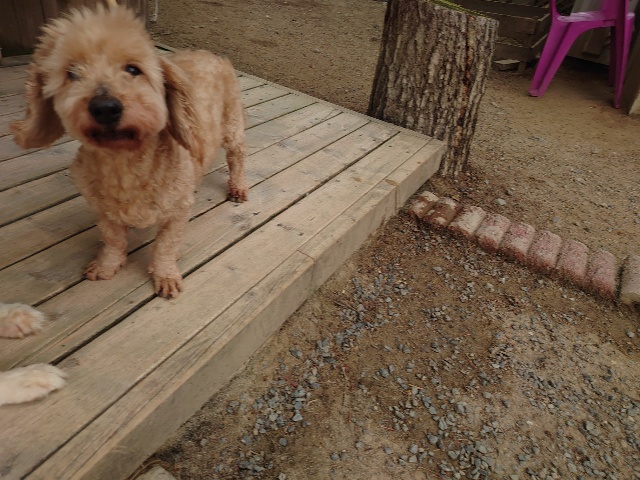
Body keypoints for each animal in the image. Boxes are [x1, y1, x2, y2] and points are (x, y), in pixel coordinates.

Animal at [11, 2, 248, 298]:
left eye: (133, 70)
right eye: (72, 73)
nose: (105, 107)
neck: (124, 163)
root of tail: (210, 53)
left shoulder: (178, 212)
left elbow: (165, 247)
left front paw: (165, 276)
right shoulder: (103, 212)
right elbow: (113, 240)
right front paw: (107, 265)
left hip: (232, 125)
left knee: (237, 157)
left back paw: (238, 187)